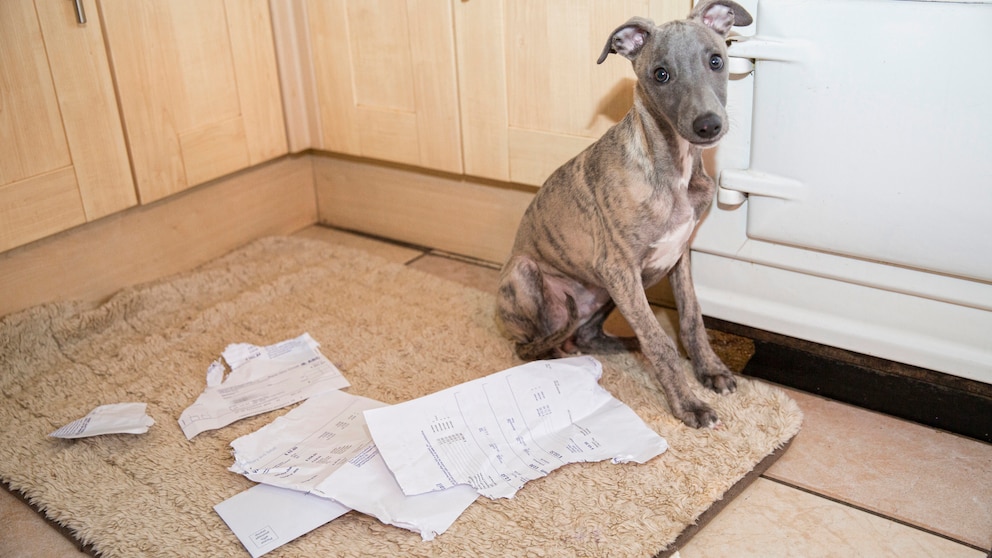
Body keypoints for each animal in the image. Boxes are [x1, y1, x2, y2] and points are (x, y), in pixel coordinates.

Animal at [496, 1, 752, 428]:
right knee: (530, 347)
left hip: (606, 293)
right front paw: (689, 404)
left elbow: (692, 319)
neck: (673, 168)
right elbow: (661, 342)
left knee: (587, 335)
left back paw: (622, 345)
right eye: (660, 74)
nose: (708, 126)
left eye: (716, 60)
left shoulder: (679, 256)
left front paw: (710, 370)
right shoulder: (619, 267)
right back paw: (557, 356)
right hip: (528, 272)